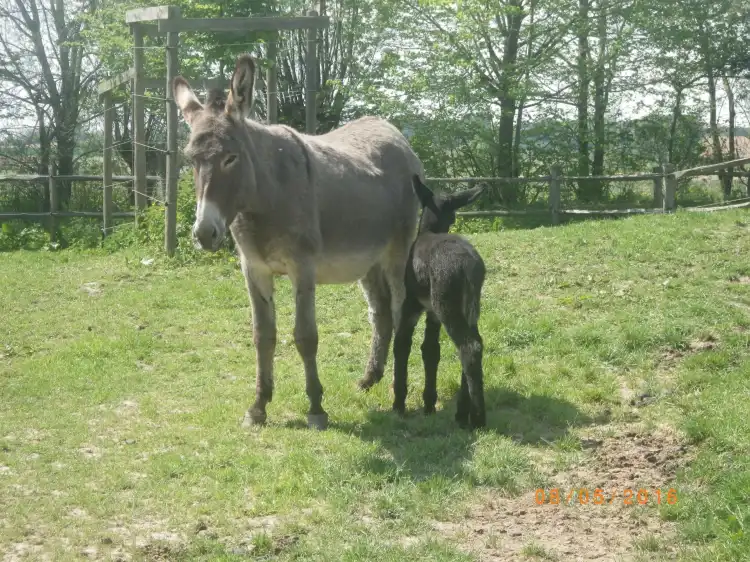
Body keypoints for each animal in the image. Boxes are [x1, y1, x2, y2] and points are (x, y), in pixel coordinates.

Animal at [394, 177, 488, 426]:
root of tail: (469, 265)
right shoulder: (432, 313)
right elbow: (430, 350)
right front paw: (428, 404)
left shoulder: (411, 305)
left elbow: (401, 344)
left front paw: (398, 405)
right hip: (466, 308)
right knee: (475, 344)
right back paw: (462, 411)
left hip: (448, 306)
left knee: (469, 347)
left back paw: (477, 418)